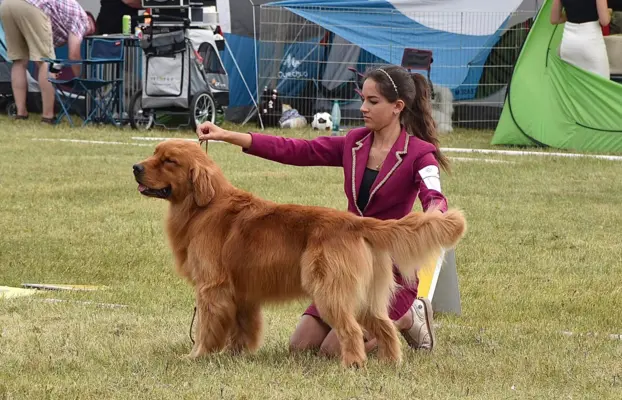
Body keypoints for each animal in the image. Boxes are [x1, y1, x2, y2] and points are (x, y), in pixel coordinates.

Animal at [133, 139, 468, 368]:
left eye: (168, 161)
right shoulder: (242, 292)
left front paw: (197, 355)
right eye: (154, 153)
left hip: (330, 290)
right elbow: (242, 329)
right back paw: (390, 362)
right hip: (365, 295)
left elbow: (207, 327)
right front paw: (235, 354)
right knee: (384, 325)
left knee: (351, 330)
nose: (135, 168)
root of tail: (355, 222)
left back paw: (353, 365)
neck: (202, 206)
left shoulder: (211, 287)